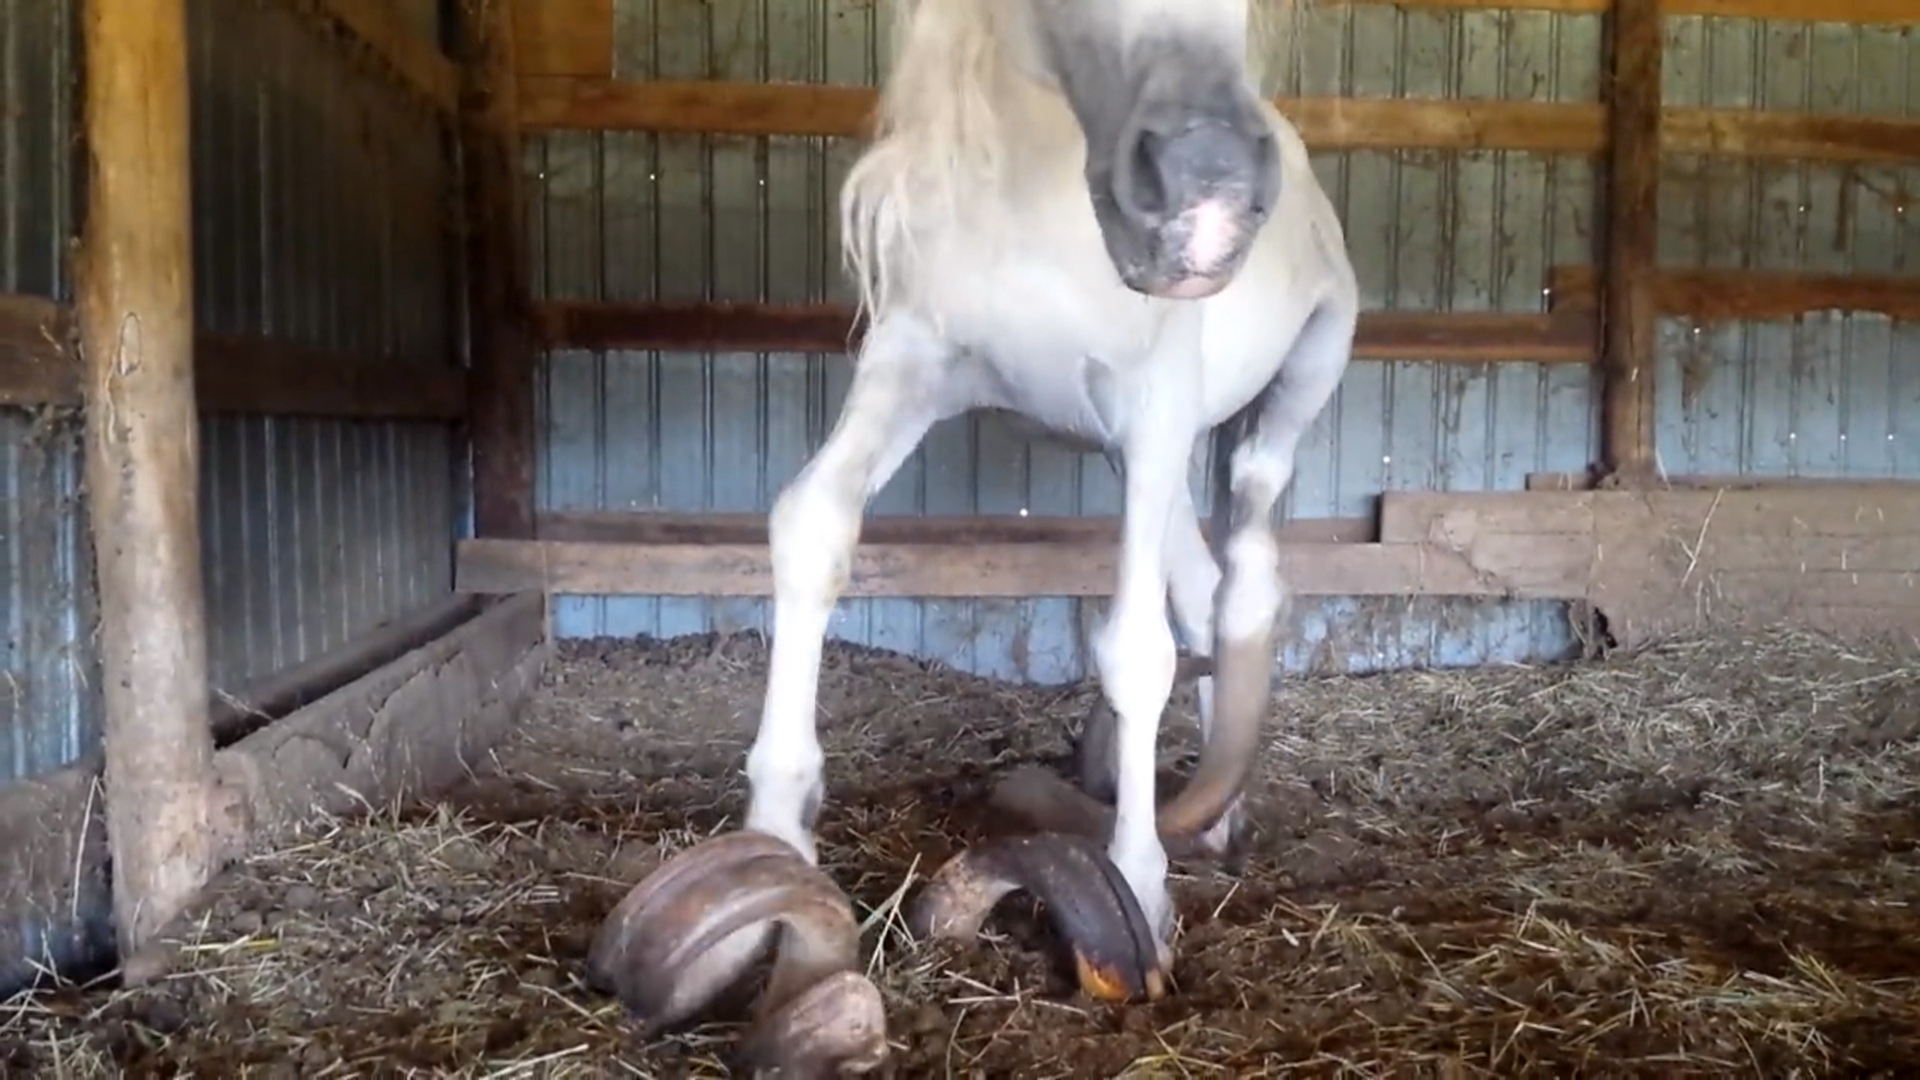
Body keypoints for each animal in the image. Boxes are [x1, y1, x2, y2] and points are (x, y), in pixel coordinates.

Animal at [591, 0, 1359, 1060]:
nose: (1206, 194)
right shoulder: (914, 367)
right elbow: (810, 526)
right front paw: (773, 857)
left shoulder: (1156, 403)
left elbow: (1136, 652)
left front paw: (1141, 896)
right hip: (1132, 462)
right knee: (1204, 592)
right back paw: (1215, 815)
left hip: (1291, 382)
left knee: (1247, 544)